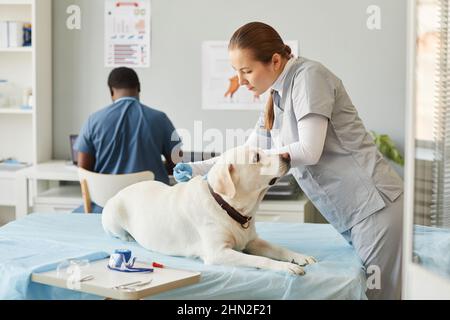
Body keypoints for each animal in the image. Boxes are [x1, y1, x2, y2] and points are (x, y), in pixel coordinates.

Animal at [102, 146, 316, 274]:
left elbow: (278, 248)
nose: (287, 155)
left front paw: (299, 257)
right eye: (256, 157)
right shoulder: (218, 253)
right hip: (112, 215)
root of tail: (121, 191)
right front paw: (285, 266)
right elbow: (260, 260)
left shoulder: (252, 241)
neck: (226, 207)